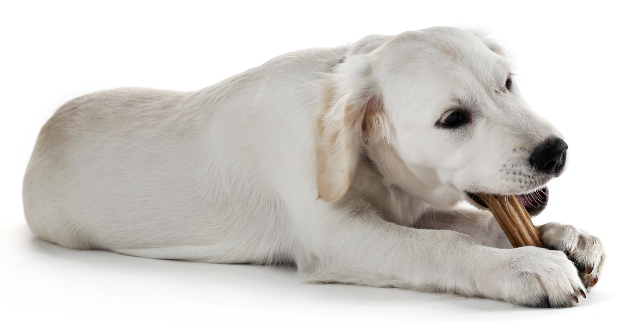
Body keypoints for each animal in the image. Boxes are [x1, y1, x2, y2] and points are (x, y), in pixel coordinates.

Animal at [21, 26, 604, 308]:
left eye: (507, 83)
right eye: (453, 118)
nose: (556, 151)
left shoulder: (409, 207)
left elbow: (472, 222)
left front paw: (564, 236)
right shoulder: (335, 235)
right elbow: (443, 245)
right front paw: (524, 266)